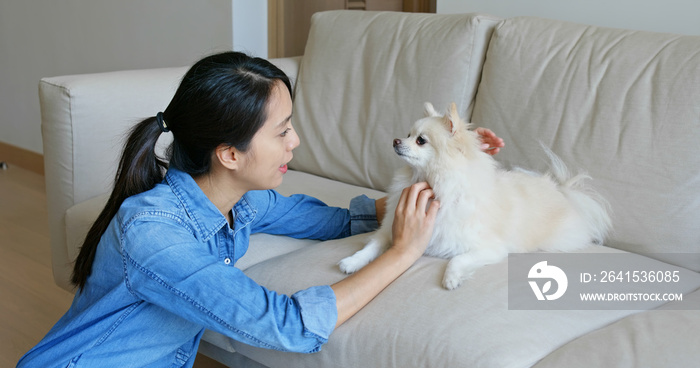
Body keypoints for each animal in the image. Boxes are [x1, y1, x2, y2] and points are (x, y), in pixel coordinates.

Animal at [340, 102, 612, 288]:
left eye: (420, 140)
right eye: (407, 134)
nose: (396, 141)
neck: (432, 180)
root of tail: (561, 191)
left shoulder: (489, 248)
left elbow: (457, 260)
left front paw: (451, 278)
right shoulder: (389, 229)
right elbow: (371, 246)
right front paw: (352, 262)